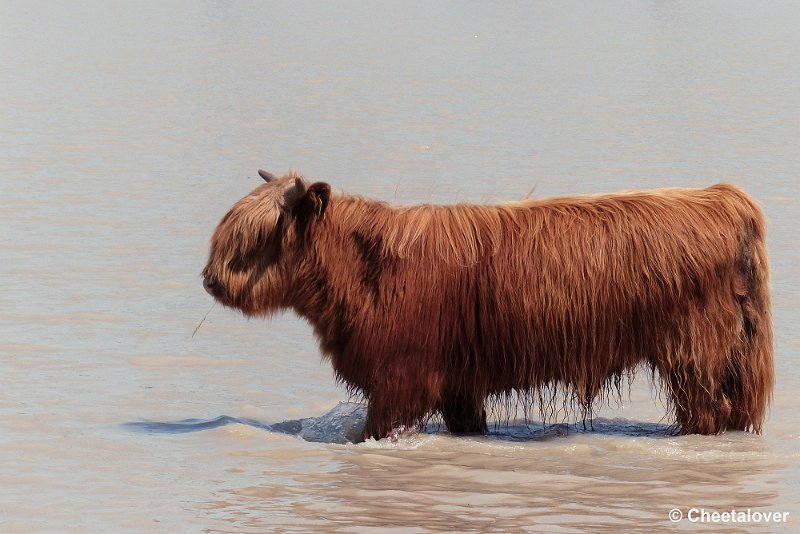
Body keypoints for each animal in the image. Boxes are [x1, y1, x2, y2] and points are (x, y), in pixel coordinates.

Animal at [203, 170, 772, 442]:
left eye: (255, 236)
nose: (210, 280)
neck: (362, 270)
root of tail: (723, 199)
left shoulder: (399, 381)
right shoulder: (458, 381)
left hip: (696, 354)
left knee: (707, 412)